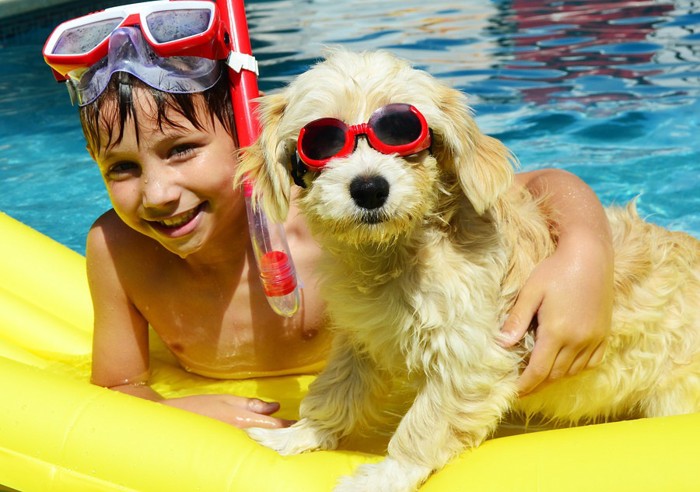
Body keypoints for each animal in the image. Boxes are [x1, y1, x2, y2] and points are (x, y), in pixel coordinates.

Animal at [237, 48, 700, 490]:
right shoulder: (362, 339)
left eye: (404, 132)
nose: (369, 188)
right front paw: (298, 434)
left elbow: (424, 425)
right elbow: (335, 389)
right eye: (320, 141)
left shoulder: (470, 358)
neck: (395, 254)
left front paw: (388, 475)